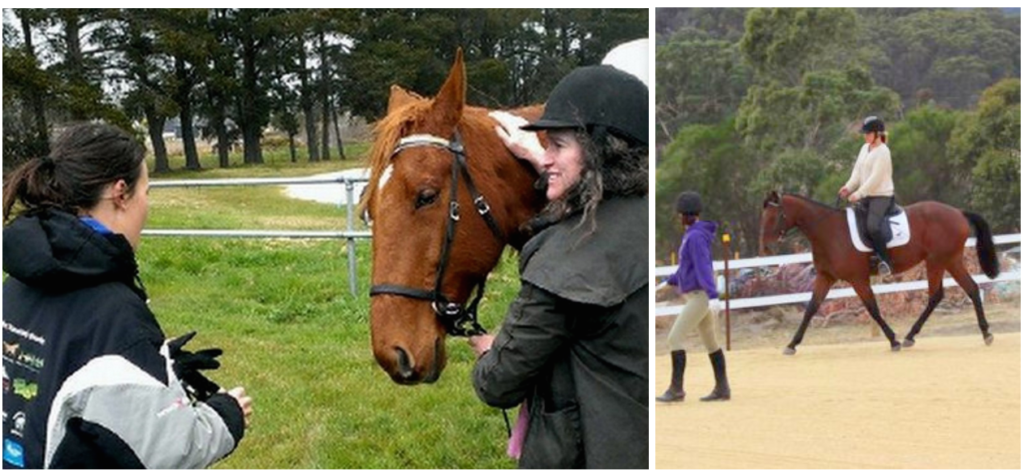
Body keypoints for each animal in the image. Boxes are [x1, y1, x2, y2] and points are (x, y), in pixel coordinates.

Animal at [761, 190, 999, 352]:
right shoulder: (825, 277)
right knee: (966, 289)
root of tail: (958, 212)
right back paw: (982, 333)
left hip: (938, 261)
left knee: (938, 295)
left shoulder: (858, 279)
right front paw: (792, 344)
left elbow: (872, 308)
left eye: (775, 216)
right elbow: (811, 308)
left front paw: (893, 340)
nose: (765, 248)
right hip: (949, 261)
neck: (828, 231)